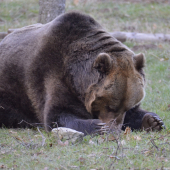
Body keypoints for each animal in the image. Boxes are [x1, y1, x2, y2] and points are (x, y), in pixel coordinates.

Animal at [0, 11, 165, 134]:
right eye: (110, 106)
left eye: (127, 106)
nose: (114, 128)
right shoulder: (51, 76)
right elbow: (57, 115)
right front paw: (98, 127)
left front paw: (153, 120)